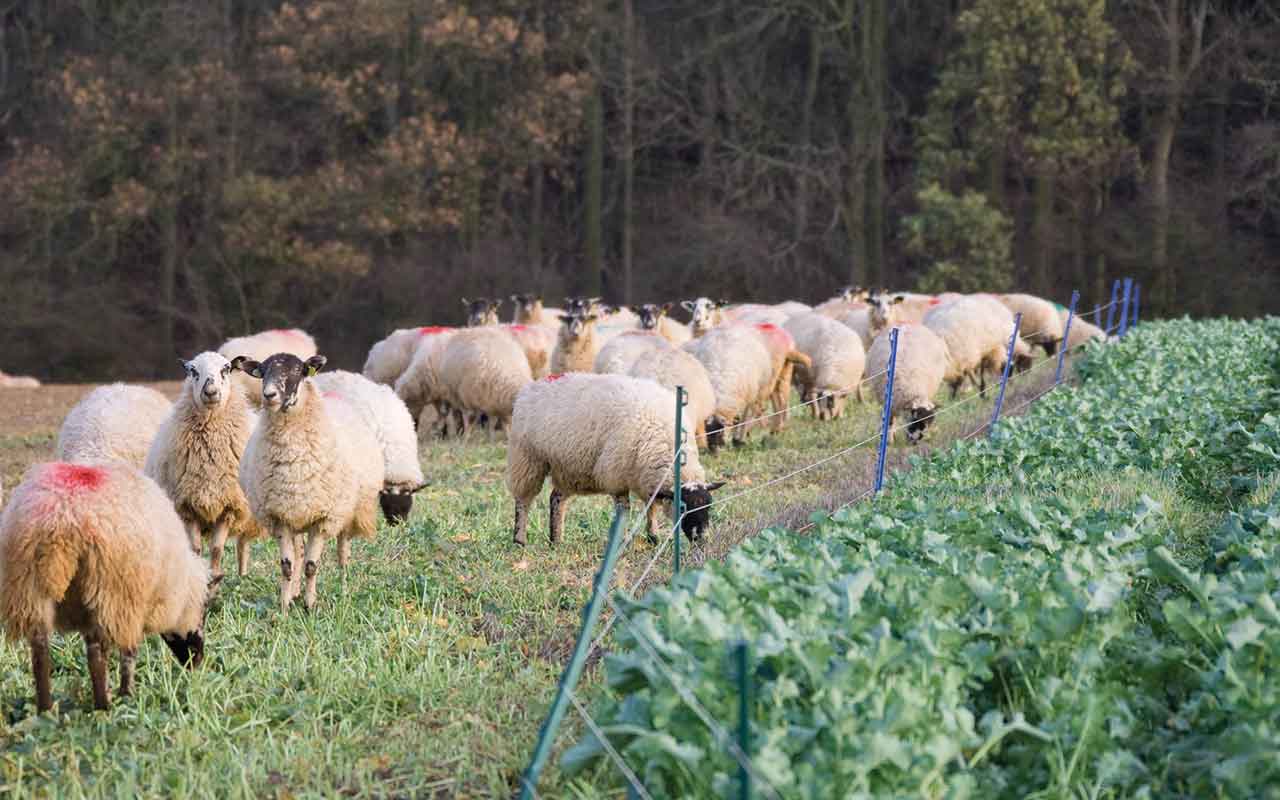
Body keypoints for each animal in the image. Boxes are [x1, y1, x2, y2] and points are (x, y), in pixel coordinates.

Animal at [0, 460, 218, 712]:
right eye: (204, 611)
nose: (197, 662)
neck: (179, 588)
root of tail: (62, 516)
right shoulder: (134, 604)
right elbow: (129, 652)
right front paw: (127, 694)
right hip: (108, 589)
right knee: (96, 652)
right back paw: (103, 705)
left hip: (28, 586)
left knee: (40, 649)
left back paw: (46, 708)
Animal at [145, 352, 264, 578]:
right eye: (193, 371)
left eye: (226, 369)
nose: (210, 392)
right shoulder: (186, 506)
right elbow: (196, 549)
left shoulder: (230, 506)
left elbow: (217, 548)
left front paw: (215, 576)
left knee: (246, 543)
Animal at [236, 353, 385, 611]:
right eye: (262, 371)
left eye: (298, 371)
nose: (269, 395)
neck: (293, 462)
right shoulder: (280, 517)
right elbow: (287, 565)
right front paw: (285, 606)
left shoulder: (324, 519)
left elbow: (311, 566)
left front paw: (310, 606)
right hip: (296, 515)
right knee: (298, 552)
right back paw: (295, 592)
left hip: (348, 509)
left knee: (343, 548)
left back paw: (343, 584)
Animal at [507, 373, 724, 546]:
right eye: (682, 508)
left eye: (709, 506)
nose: (701, 539)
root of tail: (535, 384)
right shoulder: (616, 476)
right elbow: (624, 510)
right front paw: (623, 540)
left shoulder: (646, 479)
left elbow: (651, 507)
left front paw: (653, 537)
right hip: (527, 459)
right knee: (523, 501)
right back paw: (519, 540)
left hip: (567, 466)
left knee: (556, 499)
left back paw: (557, 540)